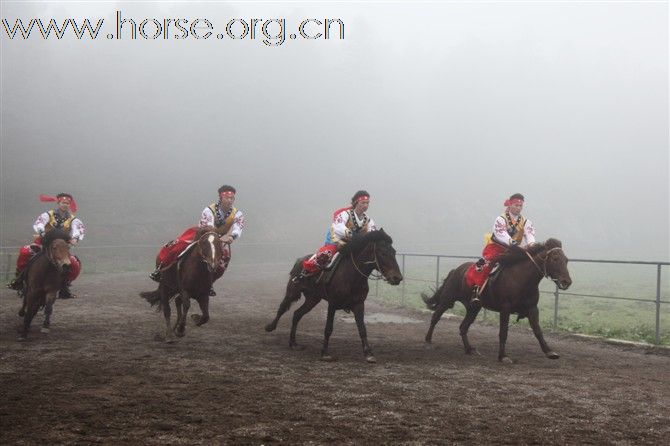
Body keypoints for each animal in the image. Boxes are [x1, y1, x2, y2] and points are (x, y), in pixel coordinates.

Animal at [266, 230, 404, 362]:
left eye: (394, 252)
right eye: (383, 253)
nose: (397, 278)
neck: (352, 276)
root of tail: (301, 261)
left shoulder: (359, 304)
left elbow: (362, 329)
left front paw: (369, 354)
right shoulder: (332, 304)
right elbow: (328, 328)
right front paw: (325, 353)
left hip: (313, 299)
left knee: (297, 314)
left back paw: (293, 343)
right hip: (293, 291)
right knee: (282, 308)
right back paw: (270, 327)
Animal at [426, 237, 572, 362]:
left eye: (566, 260)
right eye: (554, 259)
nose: (567, 282)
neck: (521, 278)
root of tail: (456, 270)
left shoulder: (532, 308)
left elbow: (537, 330)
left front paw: (549, 352)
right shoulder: (505, 308)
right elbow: (503, 332)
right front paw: (503, 356)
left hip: (473, 307)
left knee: (463, 327)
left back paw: (469, 349)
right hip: (447, 300)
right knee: (435, 317)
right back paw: (428, 340)